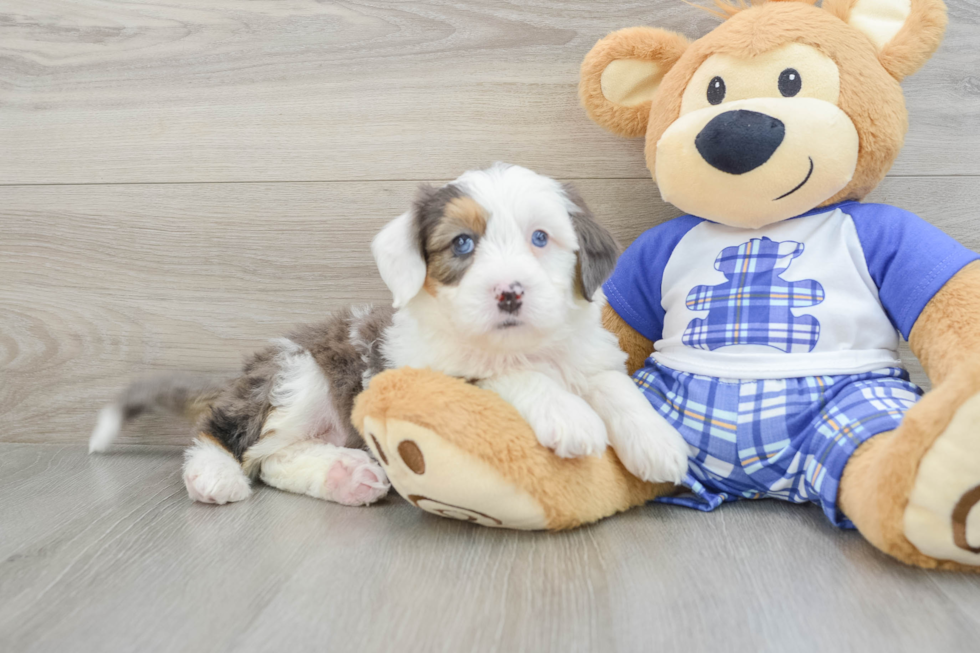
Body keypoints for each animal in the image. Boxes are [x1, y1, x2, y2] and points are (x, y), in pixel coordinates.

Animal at [94, 163, 688, 504]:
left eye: (541, 238)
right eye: (463, 244)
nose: (510, 293)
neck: (520, 342)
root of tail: (245, 374)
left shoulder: (588, 354)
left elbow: (614, 387)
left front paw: (658, 442)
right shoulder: (430, 371)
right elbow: (508, 375)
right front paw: (568, 415)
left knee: (275, 459)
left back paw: (344, 475)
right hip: (300, 373)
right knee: (231, 437)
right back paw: (213, 476)